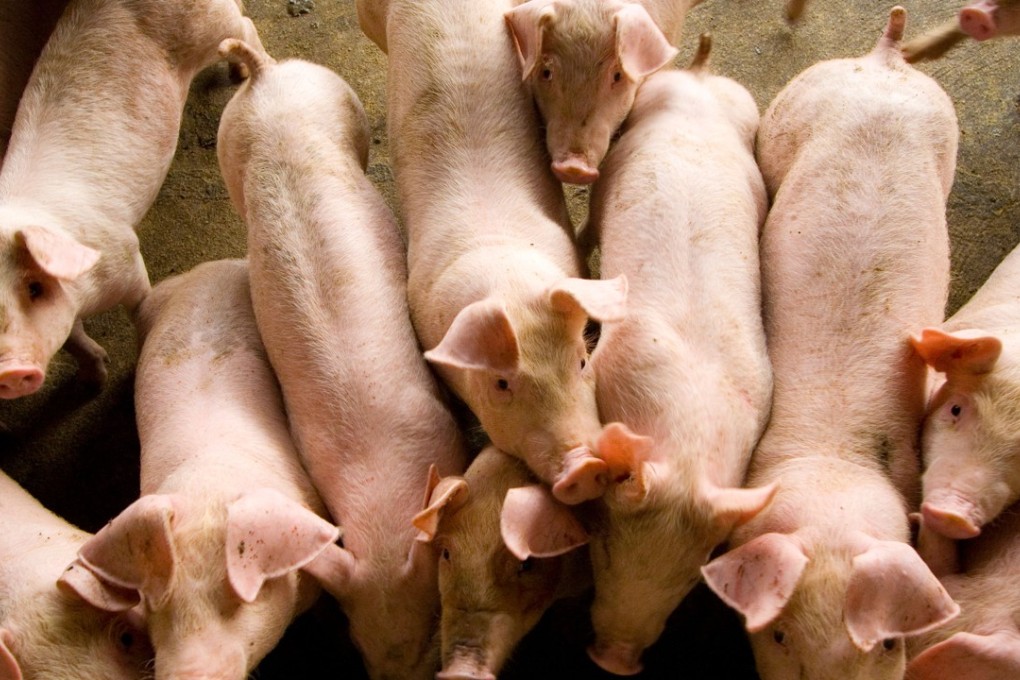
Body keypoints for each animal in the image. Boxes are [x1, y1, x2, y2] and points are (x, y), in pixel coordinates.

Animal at [216, 40, 469, 680]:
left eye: (433, 624)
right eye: (357, 643)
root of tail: (265, 76)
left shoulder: (441, 420)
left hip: (338, 100)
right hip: (231, 148)